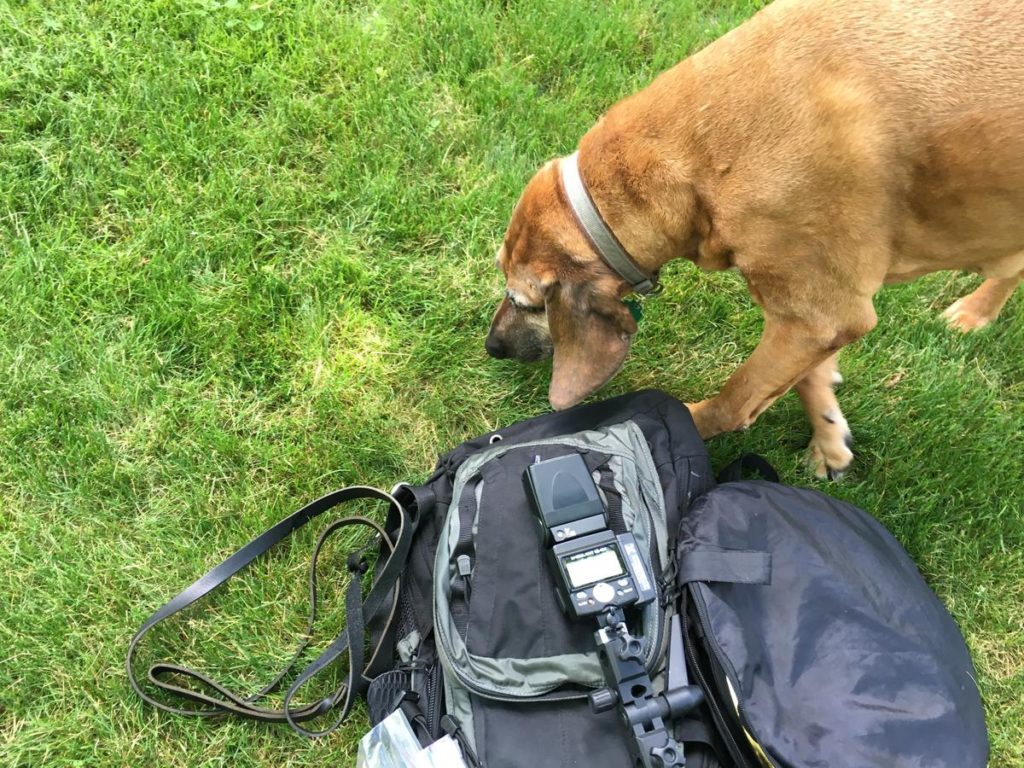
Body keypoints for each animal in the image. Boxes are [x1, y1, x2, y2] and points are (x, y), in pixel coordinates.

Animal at [485, 0, 1024, 479]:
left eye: (529, 303)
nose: (491, 346)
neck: (696, 154)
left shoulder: (816, 313)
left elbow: (733, 401)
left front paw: (682, 423)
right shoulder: (815, 312)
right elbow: (806, 376)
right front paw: (829, 432)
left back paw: (975, 311)